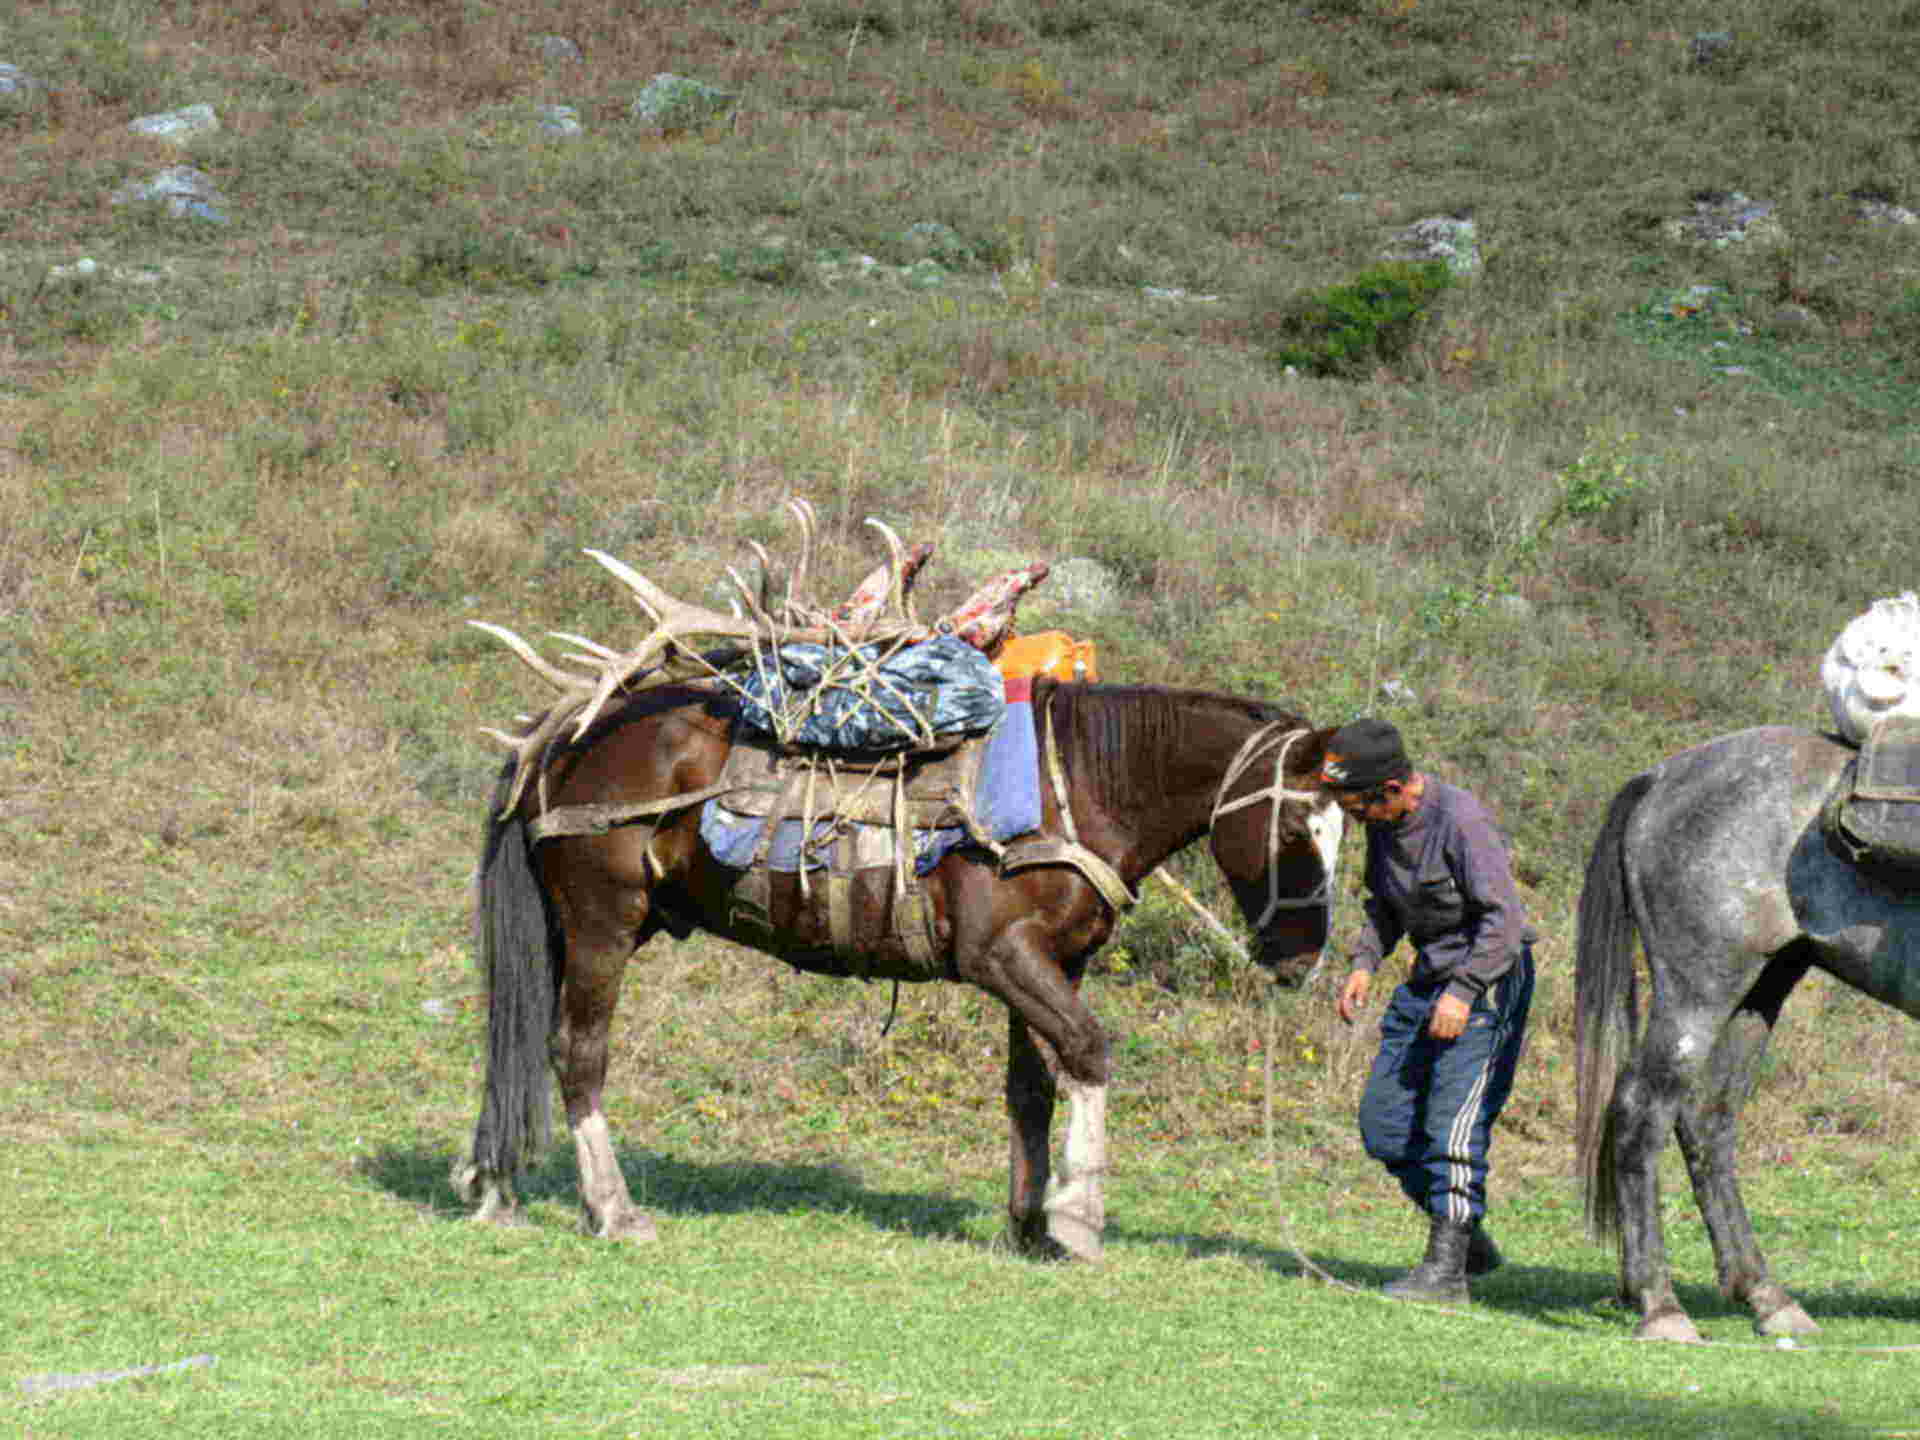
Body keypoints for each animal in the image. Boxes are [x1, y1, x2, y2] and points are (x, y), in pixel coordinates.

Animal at [456, 683, 1344, 1259]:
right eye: (1294, 828)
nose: (1301, 959)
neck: (1076, 782)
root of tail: (566, 729)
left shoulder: (1054, 963)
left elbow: (1033, 1085)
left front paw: (1028, 1225)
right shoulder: (1002, 956)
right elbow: (1089, 1052)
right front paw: (1079, 1215)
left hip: (571, 929)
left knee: (521, 1039)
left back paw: (495, 1186)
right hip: (603, 922)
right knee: (577, 1053)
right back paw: (612, 1209)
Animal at [1574, 725, 1920, 1351]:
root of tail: (1662, 776)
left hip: (1759, 991)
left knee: (1707, 1120)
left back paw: (1766, 1295)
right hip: (1700, 992)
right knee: (1643, 1109)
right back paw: (1661, 1306)